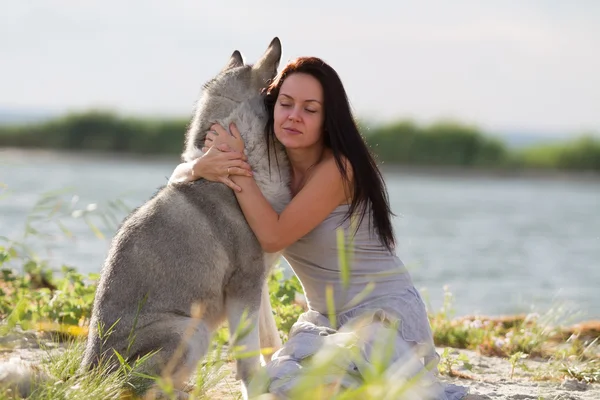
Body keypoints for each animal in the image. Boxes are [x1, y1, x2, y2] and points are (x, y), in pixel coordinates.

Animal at [79, 36, 290, 396]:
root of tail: (87, 370)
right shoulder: (244, 285)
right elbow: (248, 358)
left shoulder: (258, 285)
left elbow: (270, 341)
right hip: (191, 330)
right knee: (136, 389)